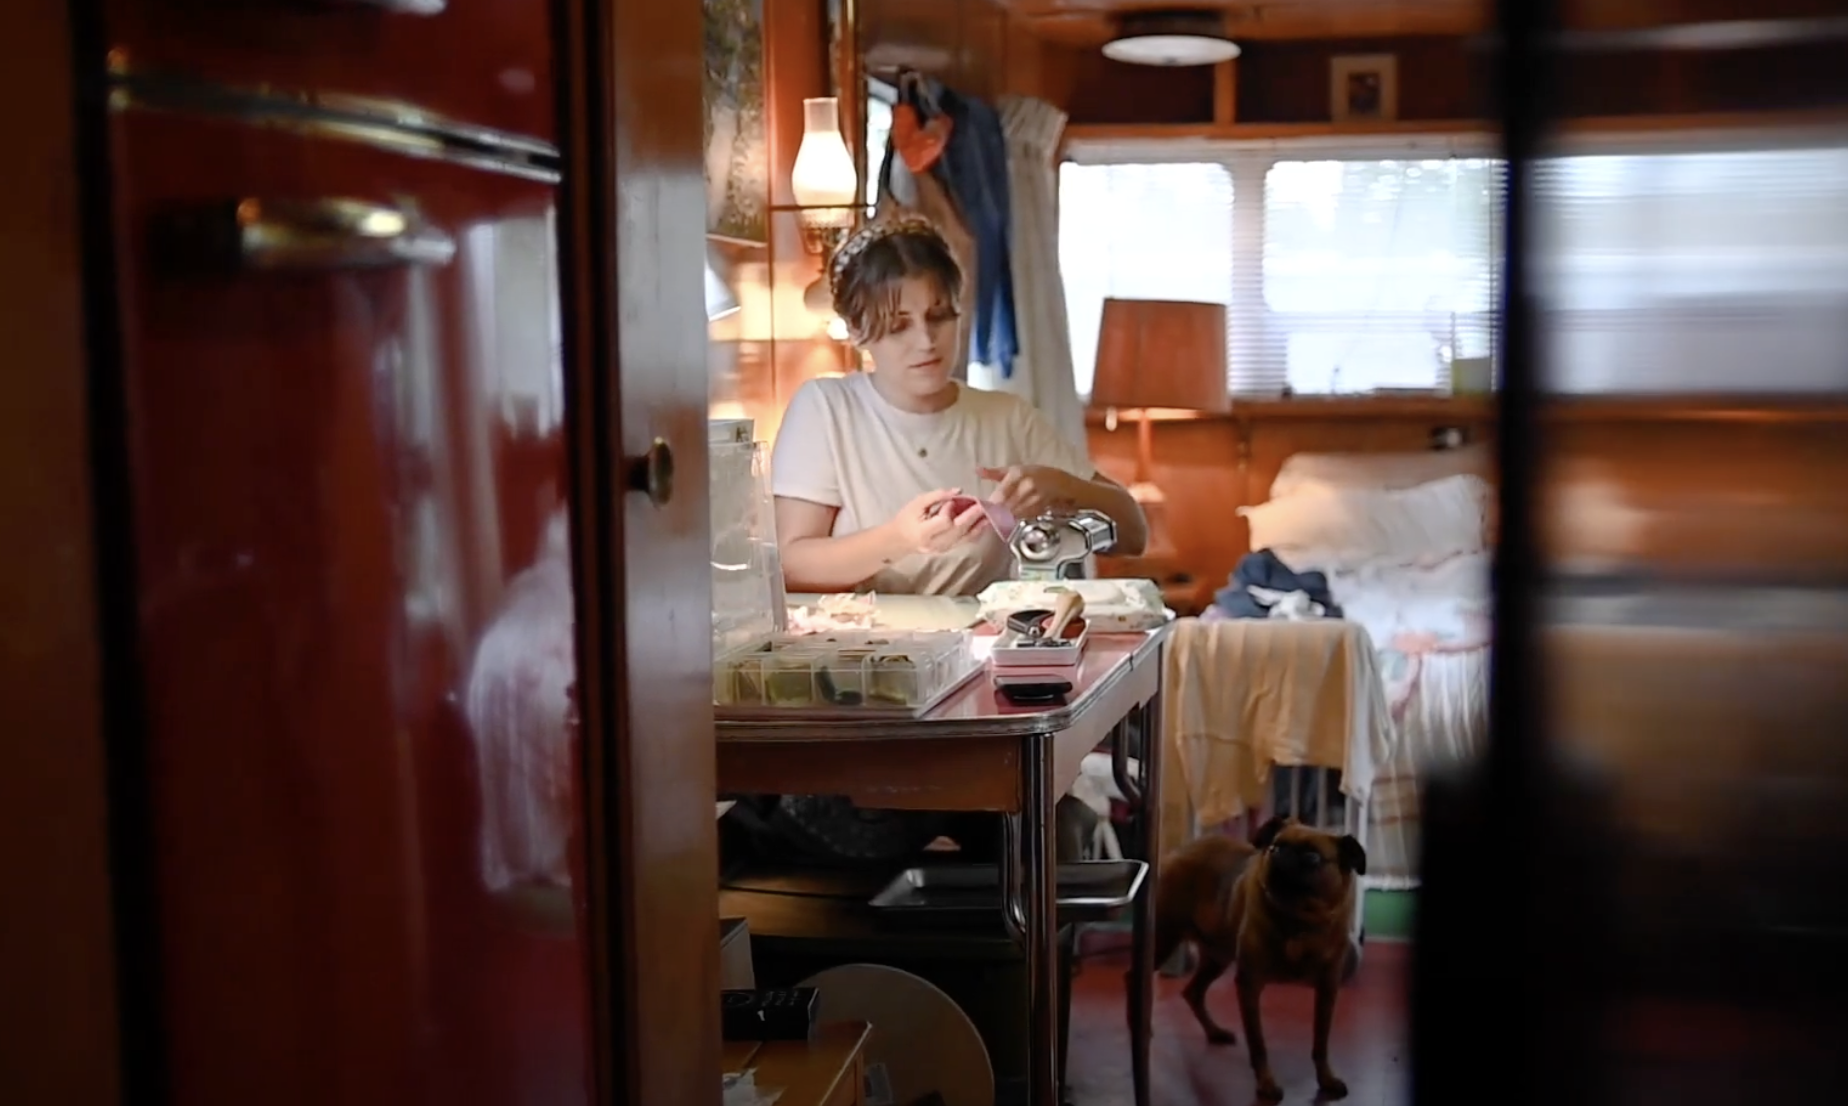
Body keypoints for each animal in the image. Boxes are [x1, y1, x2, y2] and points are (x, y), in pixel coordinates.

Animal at [1152, 816, 1367, 1101]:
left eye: (1312, 858)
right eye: (1275, 847)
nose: (1281, 855)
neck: (1297, 921)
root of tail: (1178, 852)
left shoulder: (1327, 989)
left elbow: (1321, 1042)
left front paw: (1326, 1079)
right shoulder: (1249, 986)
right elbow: (1258, 1043)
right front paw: (1265, 1082)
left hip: (1217, 957)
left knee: (1193, 992)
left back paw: (1214, 1031)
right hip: (1163, 941)